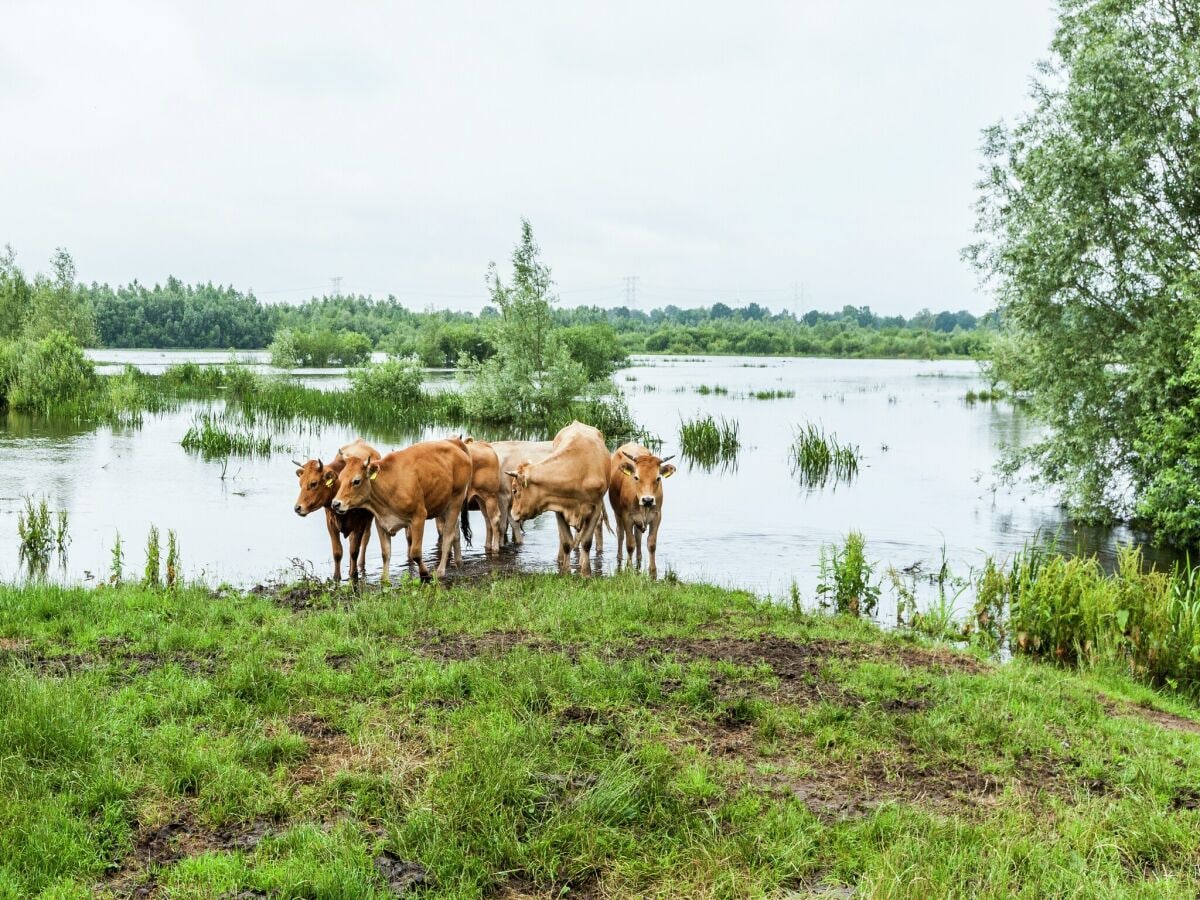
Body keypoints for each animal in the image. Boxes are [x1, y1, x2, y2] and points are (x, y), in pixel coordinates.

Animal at [294, 439, 381, 580]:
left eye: (313, 483)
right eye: (300, 484)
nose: (297, 508)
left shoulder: (360, 523)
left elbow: (354, 550)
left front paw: (353, 575)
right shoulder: (330, 523)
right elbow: (337, 552)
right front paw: (336, 577)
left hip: (369, 519)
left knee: (365, 540)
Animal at [333, 441, 477, 580]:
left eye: (356, 481)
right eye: (340, 478)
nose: (335, 504)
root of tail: (455, 445)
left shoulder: (419, 516)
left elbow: (416, 552)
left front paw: (425, 574)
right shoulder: (381, 522)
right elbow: (385, 553)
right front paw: (385, 580)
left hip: (456, 500)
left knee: (448, 536)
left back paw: (441, 571)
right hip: (444, 504)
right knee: (456, 533)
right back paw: (459, 563)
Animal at [504, 424, 609, 578]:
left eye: (514, 490)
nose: (512, 513)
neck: (578, 469)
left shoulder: (596, 506)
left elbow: (586, 542)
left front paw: (586, 573)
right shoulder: (559, 509)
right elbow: (566, 542)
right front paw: (565, 572)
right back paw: (560, 559)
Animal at [609, 441, 676, 578]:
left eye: (658, 478)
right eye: (636, 477)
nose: (648, 500)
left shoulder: (656, 516)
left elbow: (651, 544)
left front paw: (653, 571)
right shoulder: (627, 517)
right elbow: (630, 544)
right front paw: (628, 568)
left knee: (638, 536)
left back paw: (639, 558)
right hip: (617, 513)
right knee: (620, 534)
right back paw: (619, 557)